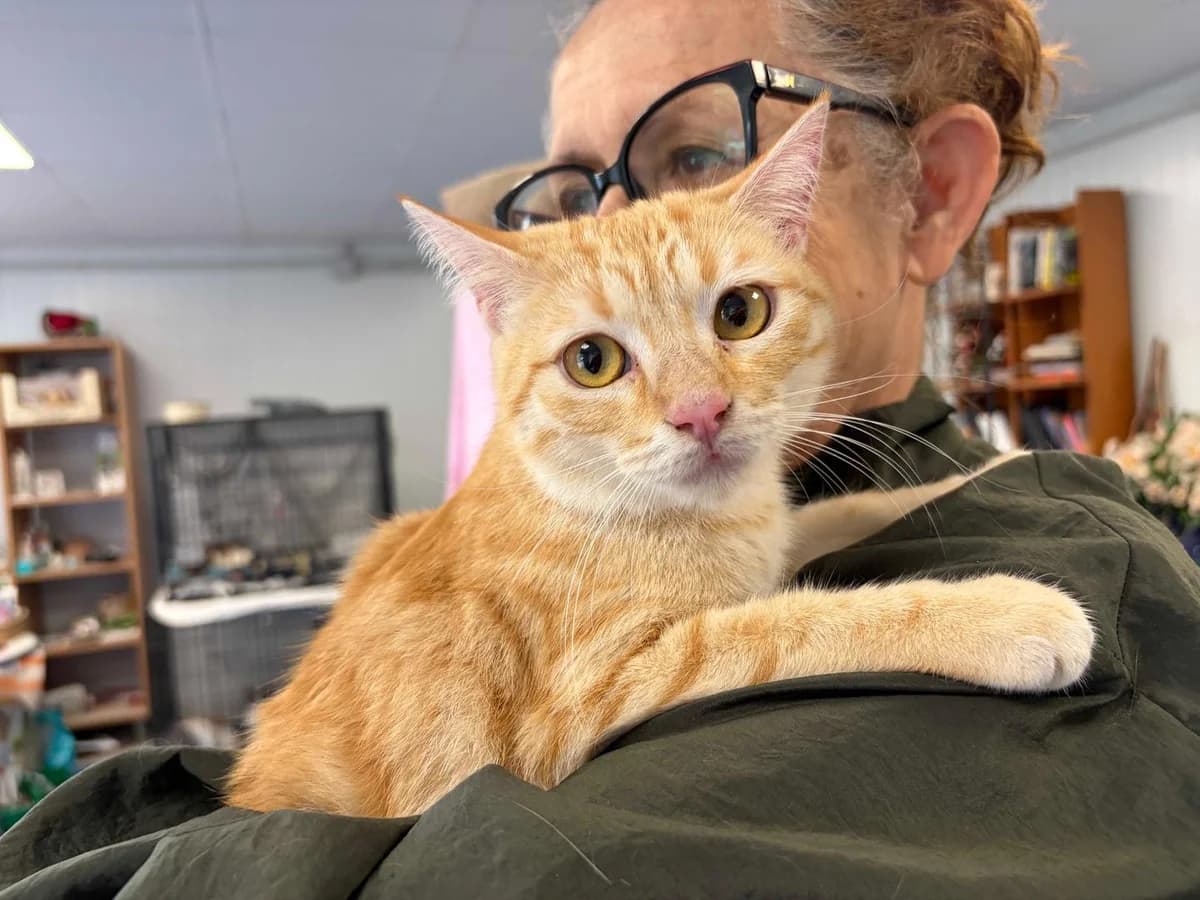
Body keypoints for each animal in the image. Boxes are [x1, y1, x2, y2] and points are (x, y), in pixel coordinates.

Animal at [227, 103, 1093, 818]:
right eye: (592, 361)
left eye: (741, 312)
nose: (700, 411)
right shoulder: (590, 693)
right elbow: (798, 623)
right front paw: (998, 611)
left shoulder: (776, 530)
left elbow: (838, 510)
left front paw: (990, 467)